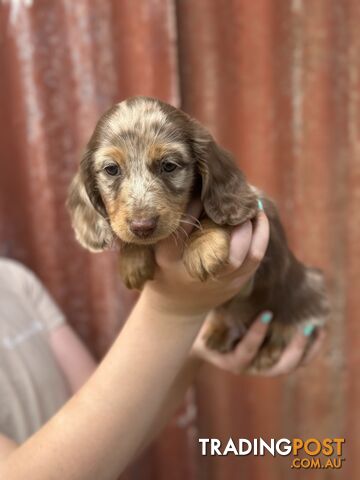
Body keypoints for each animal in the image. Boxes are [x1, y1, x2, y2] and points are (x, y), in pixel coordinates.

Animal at [66, 95, 328, 370]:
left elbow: (212, 213)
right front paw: (133, 258)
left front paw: (204, 247)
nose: (143, 226)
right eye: (111, 169)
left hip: (310, 289)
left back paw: (272, 345)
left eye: (169, 166)